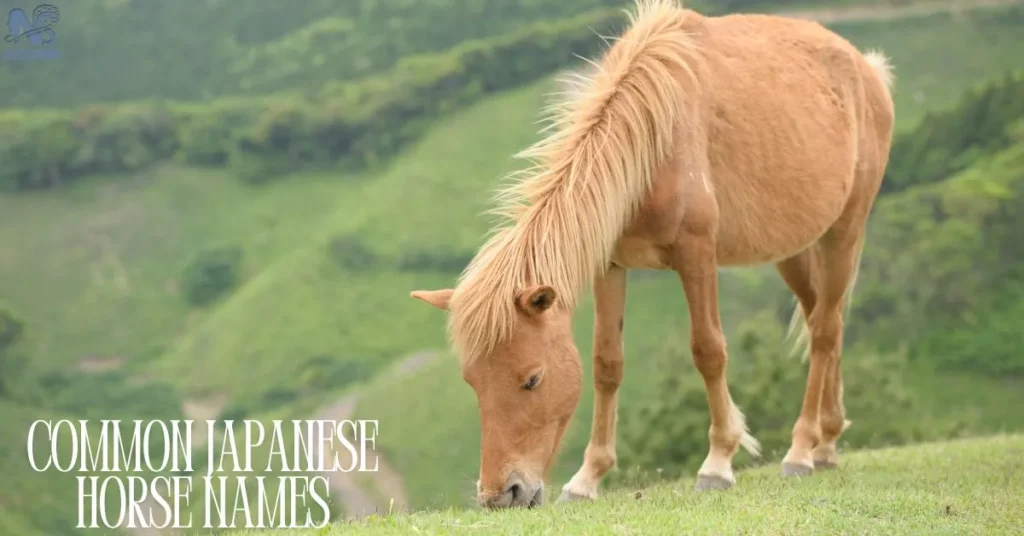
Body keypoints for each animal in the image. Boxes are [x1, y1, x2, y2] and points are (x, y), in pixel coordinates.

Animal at [411, 0, 892, 512]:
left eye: (532, 379)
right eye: (472, 381)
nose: (502, 495)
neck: (652, 141)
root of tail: (869, 72)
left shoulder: (697, 254)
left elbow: (708, 351)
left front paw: (718, 462)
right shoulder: (611, 266)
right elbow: (607, 364)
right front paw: (588, 478)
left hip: (844, 232)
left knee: (824, 332)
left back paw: (802, 450)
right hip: (794, 251)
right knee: (825, 317)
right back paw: (827, 442)